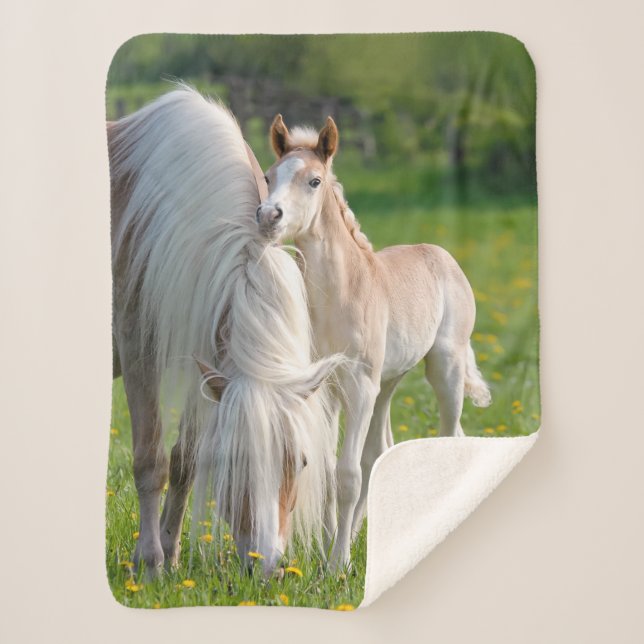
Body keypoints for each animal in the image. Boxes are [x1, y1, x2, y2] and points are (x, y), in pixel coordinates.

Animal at [108, 87, 342, 576]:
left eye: (302, 461)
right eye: (234, 460)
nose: (267, 567)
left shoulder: (207, 358)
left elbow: (185, 460)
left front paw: (171, 555)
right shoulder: (140, 350)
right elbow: (151, 460)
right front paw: (149, 562)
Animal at [256, 115, 492, 567]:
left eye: (314, 180)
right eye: (269, 175)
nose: (268, 215)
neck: (340, 294)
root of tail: (441, 254)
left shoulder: (360, 384)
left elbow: (348, 473)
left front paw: (338, 565)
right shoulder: (327, 389)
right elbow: (332, 470)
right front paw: (329, 547)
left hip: (443, 370)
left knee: (450, 436)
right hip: (387, 383)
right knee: (380, 449)